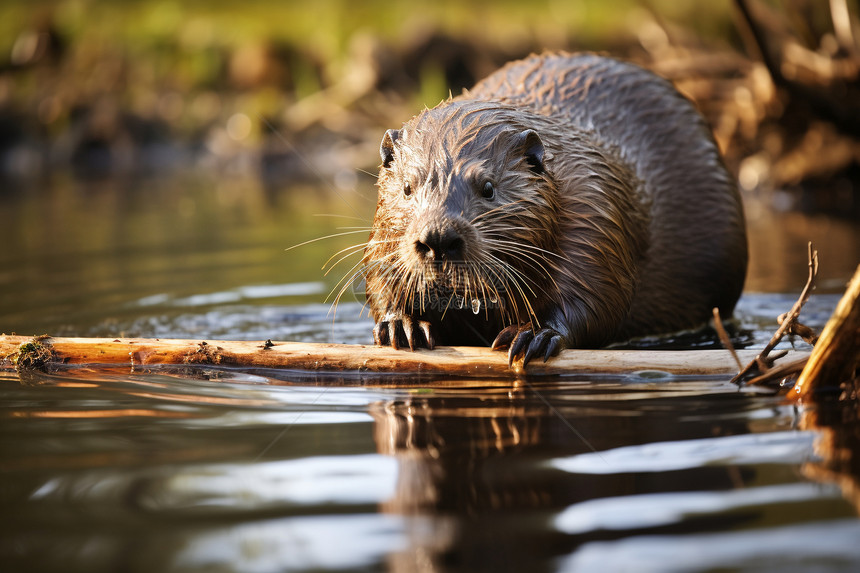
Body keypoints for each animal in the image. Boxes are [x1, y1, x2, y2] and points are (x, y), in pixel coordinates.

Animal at [362, 54, 744, 366]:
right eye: (407, 187)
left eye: (488, 188)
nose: (438, 238)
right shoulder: (382, 235)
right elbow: (379, 274)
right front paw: (401, 325)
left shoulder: (595, 212)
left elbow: (598, 297)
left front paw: (534, 335)